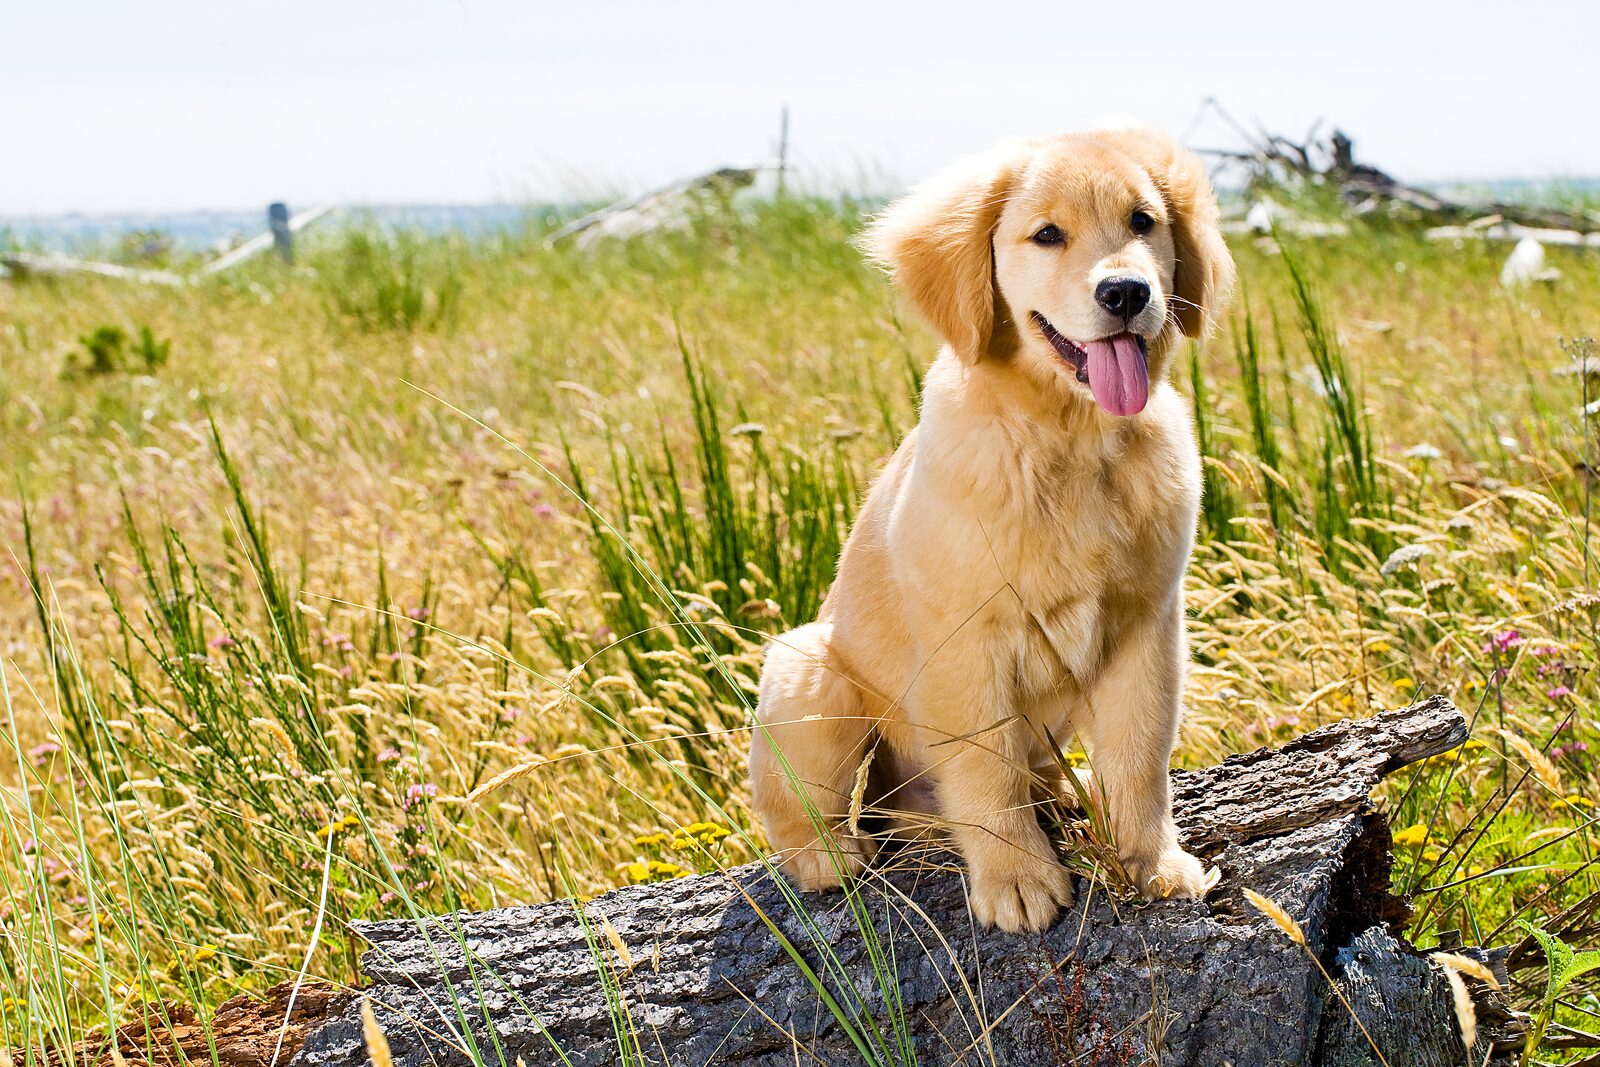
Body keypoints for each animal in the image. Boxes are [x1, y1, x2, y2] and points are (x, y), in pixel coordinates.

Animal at [748, 125, 1235, 927]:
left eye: (1142, 222)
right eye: (1047, 235)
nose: (1126, 292)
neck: (1069, 439)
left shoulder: (1148, 624)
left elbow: (1140, 758)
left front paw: (1151, 862)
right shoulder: (966, 642)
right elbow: (985, 768)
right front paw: (1016, 879)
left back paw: (1064, 793)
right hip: (810, 671)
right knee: (805, 806)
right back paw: (828, 857)